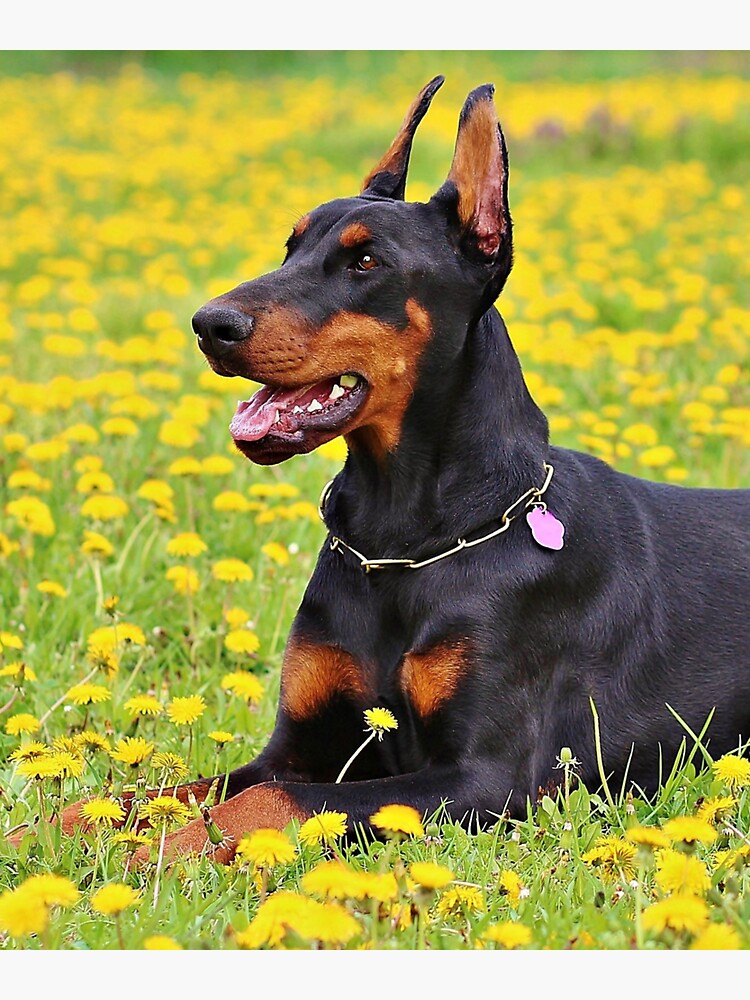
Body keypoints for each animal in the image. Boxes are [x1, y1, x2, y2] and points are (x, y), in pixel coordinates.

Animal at [73, 80, 750, 860]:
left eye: (366, 263)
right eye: (291, 245)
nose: (209, 324)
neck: (400, 539)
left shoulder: (483, 778)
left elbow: (260, 804)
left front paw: (162, 856)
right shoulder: (298, 746)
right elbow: (153, 792)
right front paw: (56, 830)